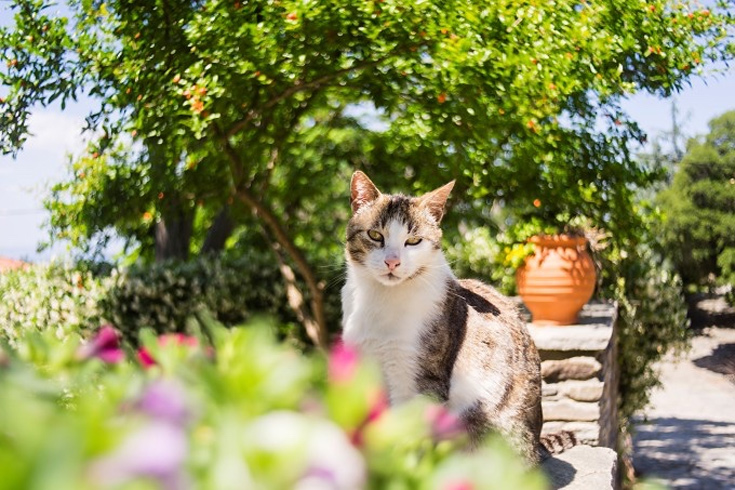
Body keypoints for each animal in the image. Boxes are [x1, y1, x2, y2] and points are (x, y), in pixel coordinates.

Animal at [341, 171, 571, 464]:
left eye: (413, 241)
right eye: (374, 234)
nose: (392, 262)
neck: (380, 299)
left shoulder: (419, 376)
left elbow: (407, 433)